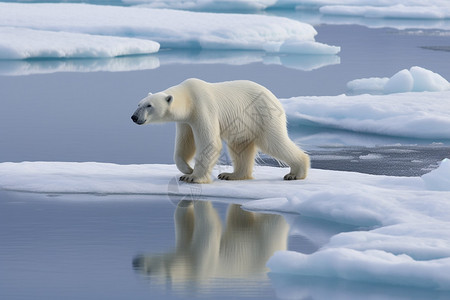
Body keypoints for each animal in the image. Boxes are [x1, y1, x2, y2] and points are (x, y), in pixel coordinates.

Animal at [130, 77, 310, 184]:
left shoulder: (202, 107)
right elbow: (184, 144)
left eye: (149, 105)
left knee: (274, 142)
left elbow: (209, 143)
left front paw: (193, 177)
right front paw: (187, 169)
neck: (188, 97)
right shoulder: (186, 121)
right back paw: (232, 175)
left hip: (262, 116)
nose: (134, 117)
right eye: (139, 104)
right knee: (240, 146)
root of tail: (275, 98)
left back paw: (295, 173)